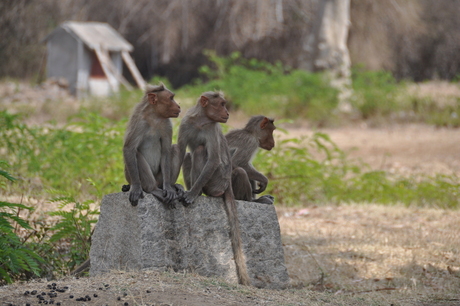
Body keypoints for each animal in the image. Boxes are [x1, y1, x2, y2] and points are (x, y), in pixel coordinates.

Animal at [176, 92, 250, 286]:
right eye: (222, 104)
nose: (227, 113)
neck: (201, 120)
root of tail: (227, 183)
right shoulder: (186, 123)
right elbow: (180, 152)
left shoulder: (211, 128)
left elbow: (214, 159)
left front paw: (192, 193)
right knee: (189, 155)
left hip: (217, 181)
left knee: (200, 150)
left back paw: (199, 192)